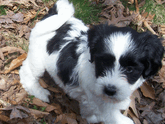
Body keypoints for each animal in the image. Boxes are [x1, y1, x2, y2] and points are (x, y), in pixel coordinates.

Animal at [19, 0, 164, 123]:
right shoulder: (102, 105)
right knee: (27, 71)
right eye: (104, 63)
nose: (109, 90)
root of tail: (52, 15)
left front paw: (88, 117)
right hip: (37, 58)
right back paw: (39, 92)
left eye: (130, 69)